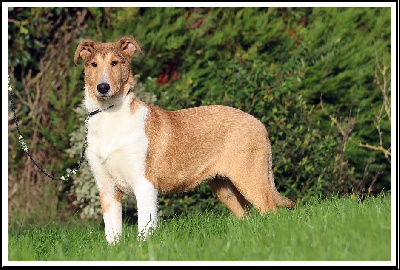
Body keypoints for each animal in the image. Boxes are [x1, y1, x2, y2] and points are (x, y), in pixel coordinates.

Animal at [74, 35, 294, 245]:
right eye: (93, 64)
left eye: (115, 63)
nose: (103, 87)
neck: (109, 115)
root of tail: (258, 123)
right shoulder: (107, 189)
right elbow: (112, 233)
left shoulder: (144, 184)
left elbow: (145, 227)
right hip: (226, 189)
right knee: (248, 217)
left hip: (251, 180)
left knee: (272, 213)